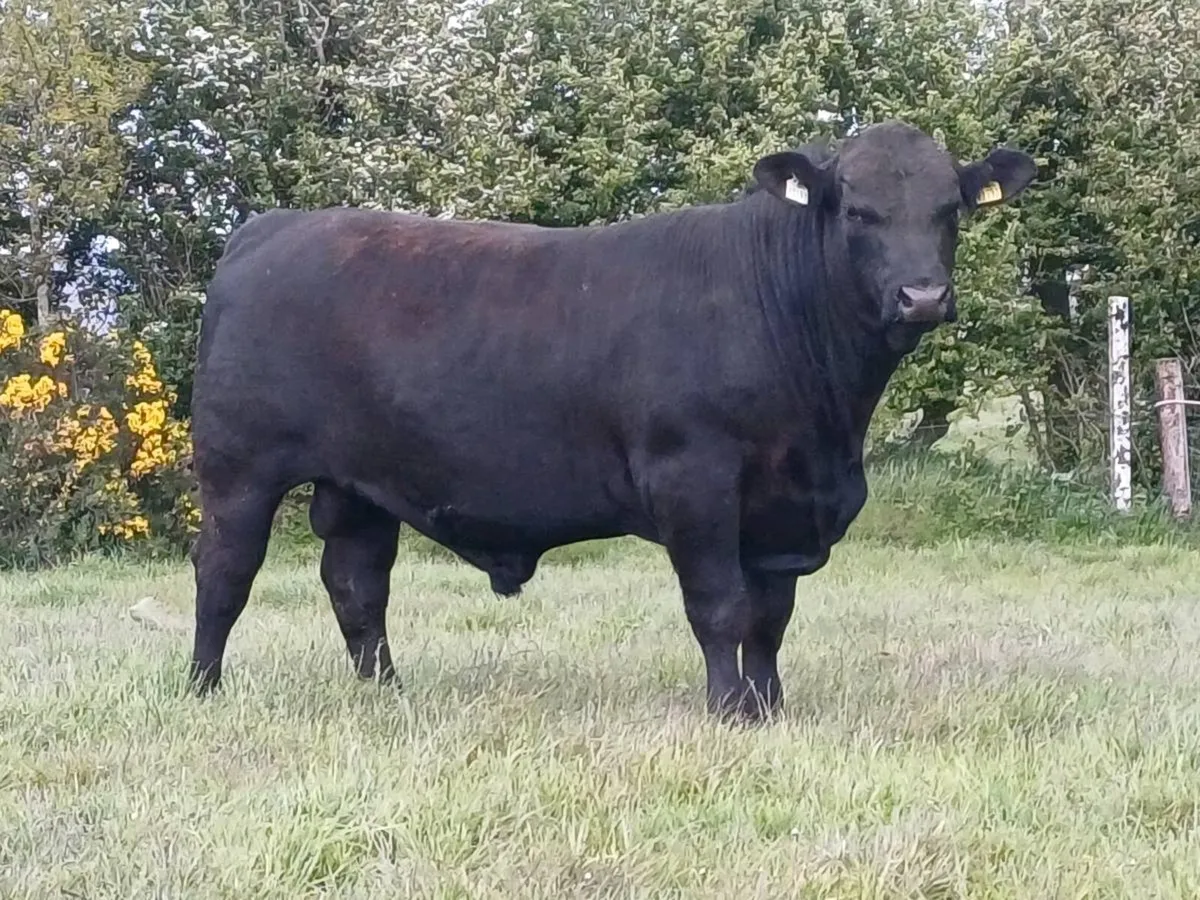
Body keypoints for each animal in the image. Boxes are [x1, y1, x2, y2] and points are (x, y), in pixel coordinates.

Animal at [187, 120, 1036, 721]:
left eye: (949, 210)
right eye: (857, 210)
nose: (922, 296)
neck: (828, 423)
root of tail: (268, 229)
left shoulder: (783, 506)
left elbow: (770, 618)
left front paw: (769, 710)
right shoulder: (694, 477)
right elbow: (720, 607)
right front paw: (727, 712)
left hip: (361, 484)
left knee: (357, 586)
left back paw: (386, 695)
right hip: (238, 470)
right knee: (224, 573)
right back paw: (203, 690)